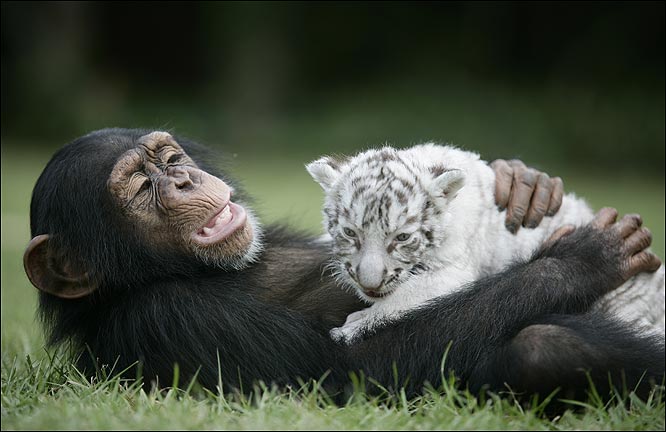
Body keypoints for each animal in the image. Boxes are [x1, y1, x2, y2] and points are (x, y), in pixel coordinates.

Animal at [23, 127, 660, 402]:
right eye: (141, 185)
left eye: (170, 159)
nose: (181, 179)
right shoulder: (165, 316)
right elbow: (348, 369)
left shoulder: (449, 267)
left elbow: (408, 296)